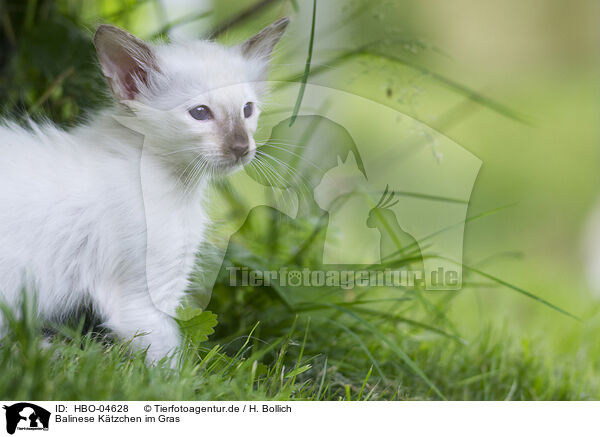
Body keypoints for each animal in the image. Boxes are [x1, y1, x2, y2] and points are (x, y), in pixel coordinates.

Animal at [0, 17, 288, 362]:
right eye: (200, 113)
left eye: (247, 110)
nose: (242, 147)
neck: (178, 185)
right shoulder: (141, 301)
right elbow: (170, 364)